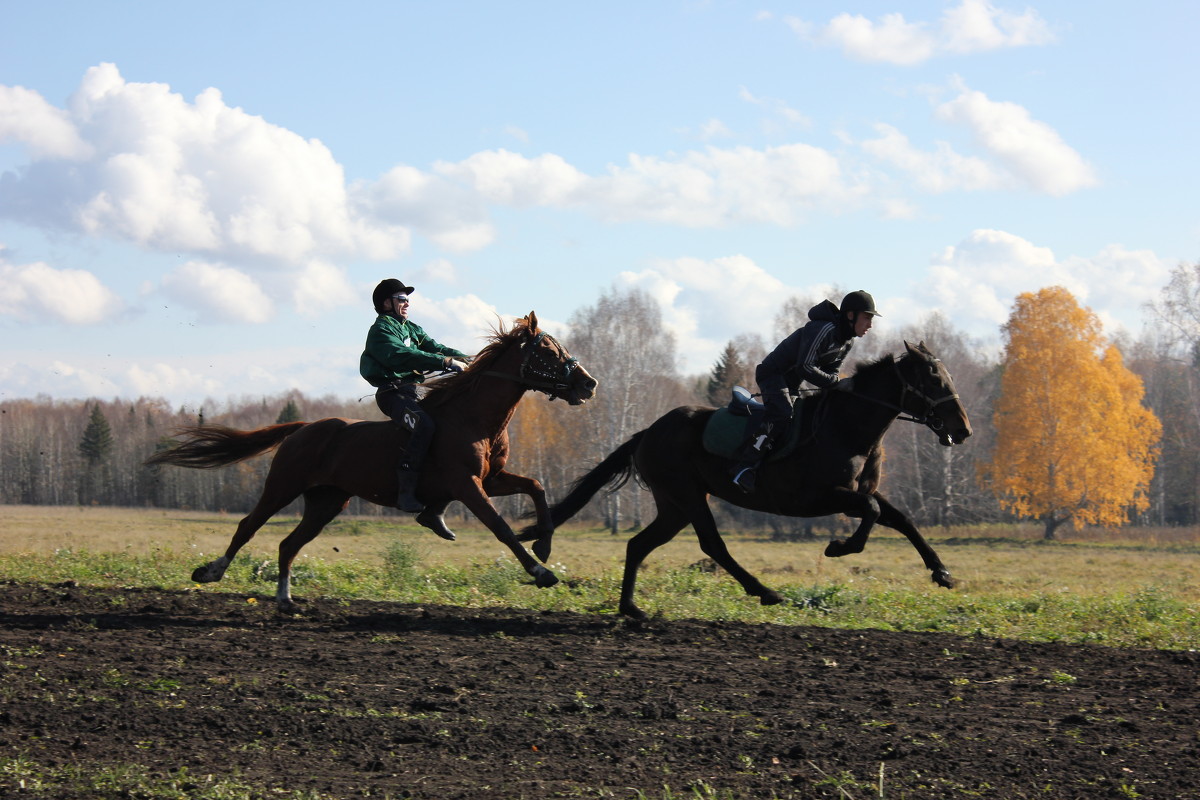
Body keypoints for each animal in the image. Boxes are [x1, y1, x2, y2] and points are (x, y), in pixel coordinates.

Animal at [147, 311, 597, 614]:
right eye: (547, 350)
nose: (589, 383)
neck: (472, 418)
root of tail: (304, 428)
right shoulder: (469, 485)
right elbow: (501, 528)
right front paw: (540, 572)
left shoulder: (493, 479)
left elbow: (536, 486)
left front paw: (542, 543)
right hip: (282, 486)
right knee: (248, 526)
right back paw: (211, 572)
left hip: (328, 501)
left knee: (288, 543)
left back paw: (285, 599)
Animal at [520, 340, 969, 623]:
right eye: (933, 379)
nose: (962, 430)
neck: (847, 426)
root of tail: (646, 432)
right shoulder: (818, 497)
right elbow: (873, 513)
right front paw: (839, 547)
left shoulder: (857, 492)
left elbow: (901, 518)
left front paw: (942, 573)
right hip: (687, 495)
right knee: (711, 545)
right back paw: (765, 591)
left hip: (673, 505)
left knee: (639, 544)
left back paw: (631, 609)